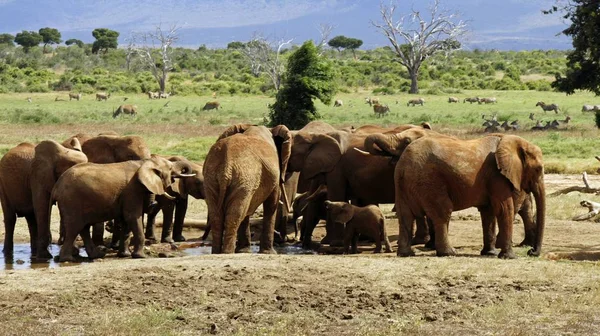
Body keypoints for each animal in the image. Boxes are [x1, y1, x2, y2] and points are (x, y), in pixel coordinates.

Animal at [52, 156, 195, 262]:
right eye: (170, 168)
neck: (144, 163)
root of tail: (57, 186)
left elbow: (126, 221)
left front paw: (125, 255)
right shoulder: (132, 190)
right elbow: (132, 217)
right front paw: (140, 256)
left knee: (83, 228)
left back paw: (96, 255)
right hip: (72, 201)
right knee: (74, 228)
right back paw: (68, 259)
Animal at [204, 124, 292, 253]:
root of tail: (226, 164)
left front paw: (243, 251)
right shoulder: (274, 173)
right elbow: (271, 204)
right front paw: (269, 252)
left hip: (213, 178)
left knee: (218, 215)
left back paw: (217, 253)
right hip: (244, 177)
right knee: (235, 214)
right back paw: (227, 253)